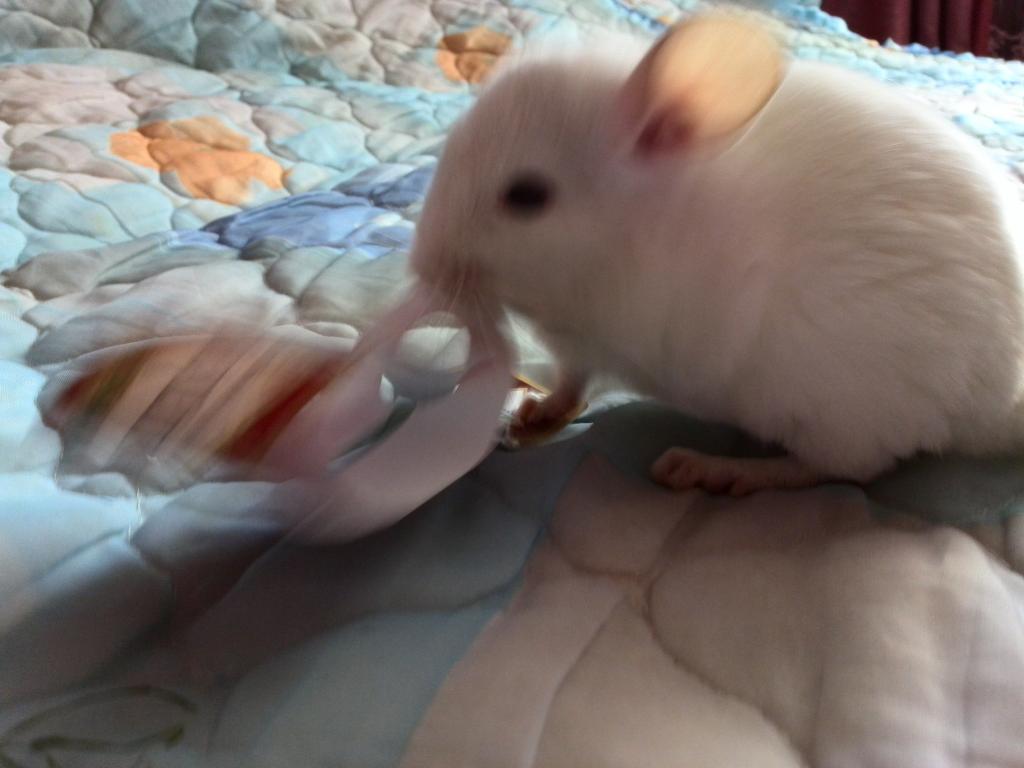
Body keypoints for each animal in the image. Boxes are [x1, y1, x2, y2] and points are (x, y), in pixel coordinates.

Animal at [410, 12, 1024, 496]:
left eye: (527, 196)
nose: (422, 267)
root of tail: (1001, 400)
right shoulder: (578, 348)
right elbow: (568, 387)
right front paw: (531, 412)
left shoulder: (601, 338)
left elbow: (578, 382)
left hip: (842, 410)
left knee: (841, 470)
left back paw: (714, 469)